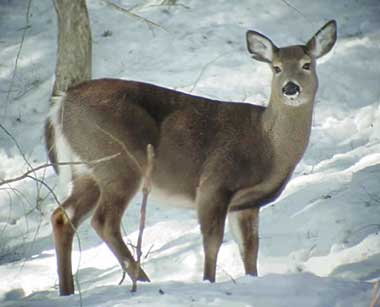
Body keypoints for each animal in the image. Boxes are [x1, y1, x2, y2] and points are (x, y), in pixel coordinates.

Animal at [46, 19, 336, 296]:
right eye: (276, 68)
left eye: (307, 65)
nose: (290, 88)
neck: (267, 145)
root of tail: (62, 102)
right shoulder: (214, 183)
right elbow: (212, 241)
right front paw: (208, 281)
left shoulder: (247, 204)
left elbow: (250, 249)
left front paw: (251, 280)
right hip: (118, 162)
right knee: (104, 221)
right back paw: (144, 281)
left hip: (87, 171)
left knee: (62, 216)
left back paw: (67, 291)